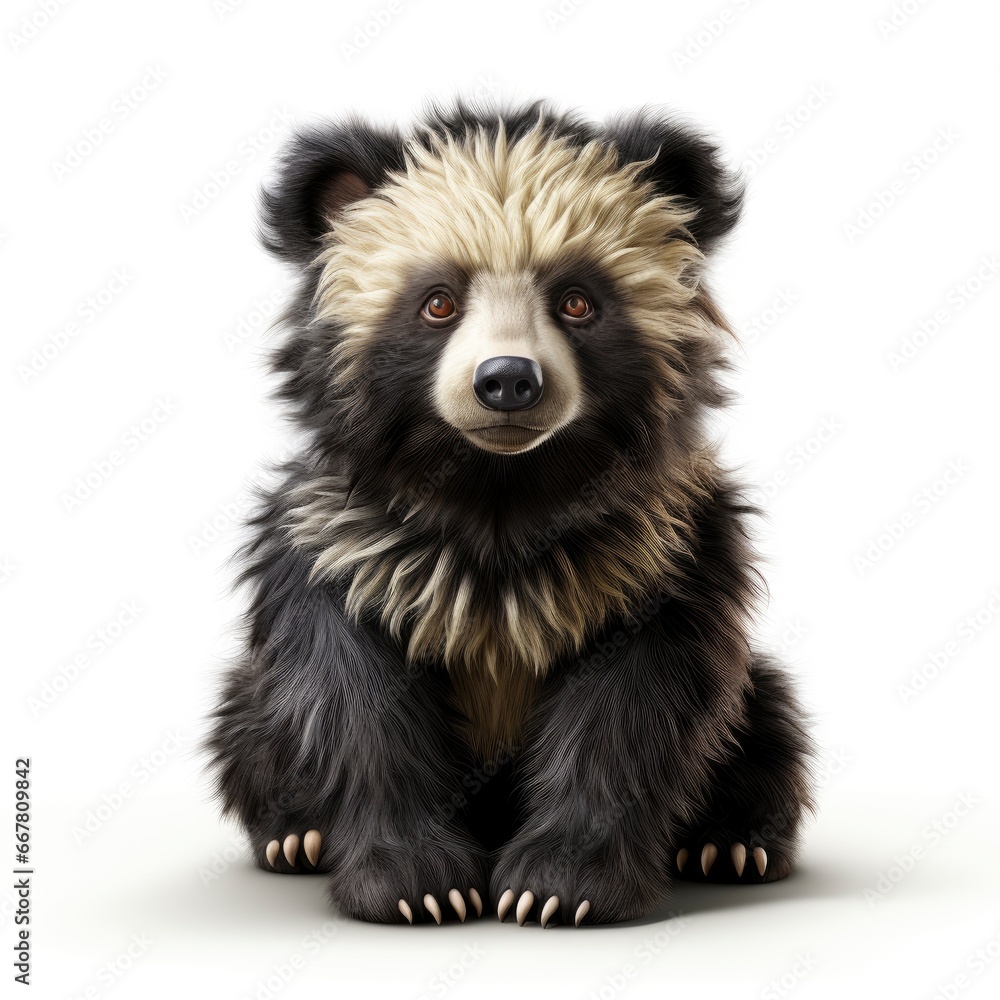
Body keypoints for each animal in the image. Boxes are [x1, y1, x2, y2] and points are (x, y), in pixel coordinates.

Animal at [206, 100, 814, 927]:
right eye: (437, 301)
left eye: (578, 301)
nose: (507, 382)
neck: (501, 489)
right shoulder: (344, 545)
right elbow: (352, 700)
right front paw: (419, 887)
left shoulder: (657, 548)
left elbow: (636, 703)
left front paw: (558, 888)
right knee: (248, 722)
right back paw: (294, 837)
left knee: (766, 719)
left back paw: (732, 846)